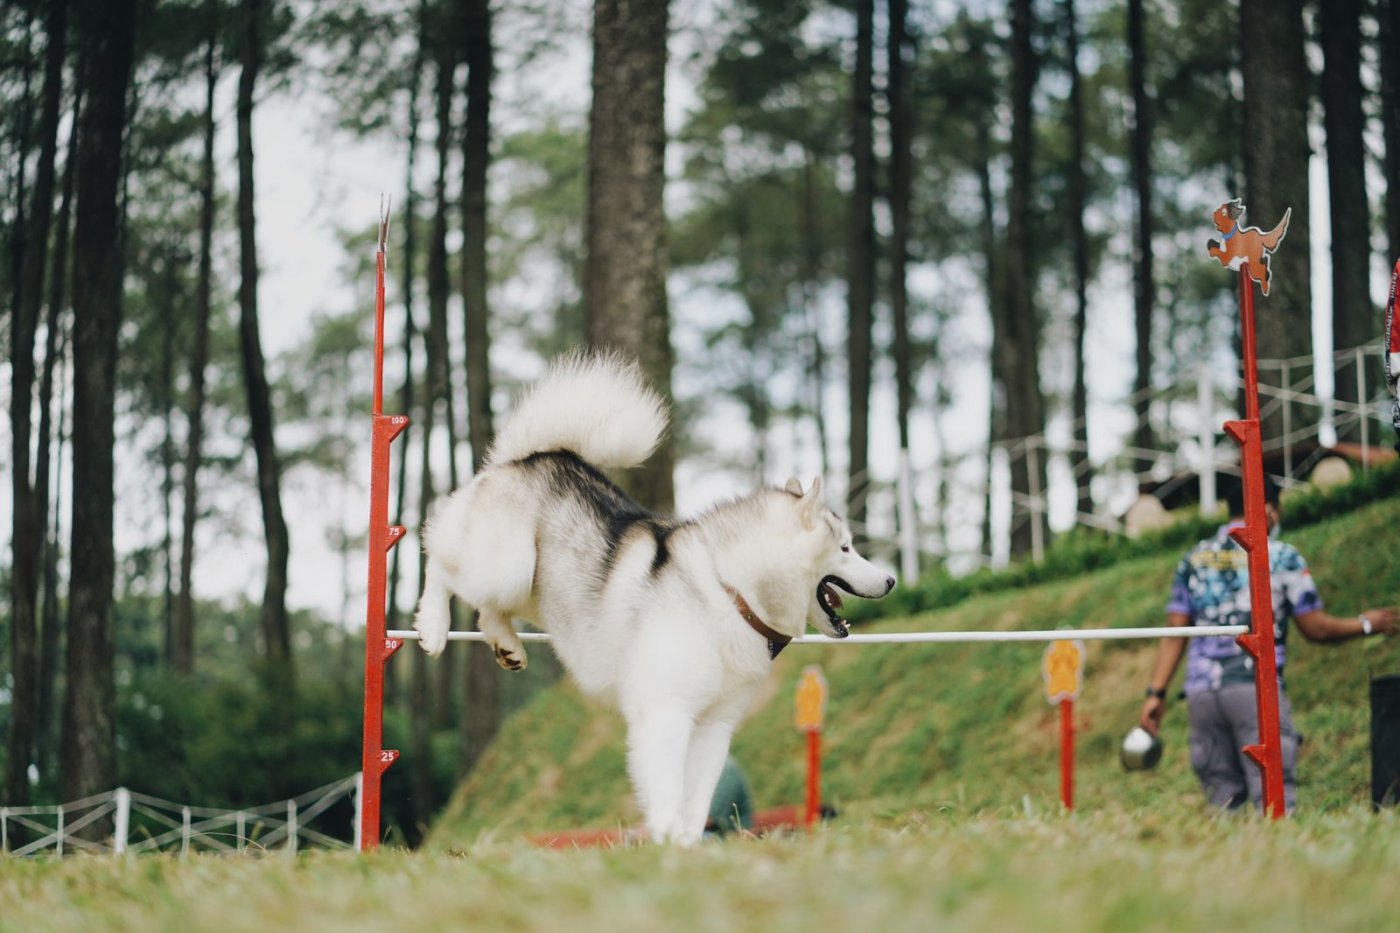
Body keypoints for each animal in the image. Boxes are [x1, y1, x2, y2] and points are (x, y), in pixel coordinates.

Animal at [414, 350, 896, 840]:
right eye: (845, 548)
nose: (891, 580)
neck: (730, 594)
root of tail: (533, 457)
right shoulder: (665, 713)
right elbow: (666, 792)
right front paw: (665, 844)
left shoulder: (714, 727)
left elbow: (696, 801)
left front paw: (686, 846)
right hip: (505, 567)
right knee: (437, 556)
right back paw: (433, 625)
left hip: (528, 587)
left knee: (489, 611)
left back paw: (507, 645)